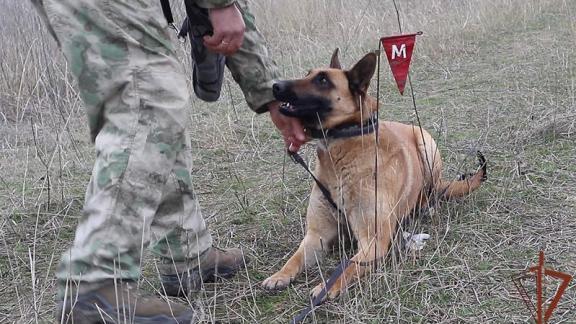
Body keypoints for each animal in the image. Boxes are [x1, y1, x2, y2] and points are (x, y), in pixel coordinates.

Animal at [260, 49, 486, 300]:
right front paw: (279, 275)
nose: (275, 86)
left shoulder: (374, 241)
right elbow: (295, 257)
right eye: (308, 73)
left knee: (431, 191)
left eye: (323, 80)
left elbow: (347, 267)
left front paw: (324, 288)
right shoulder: (315, 236)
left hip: (425, 144)